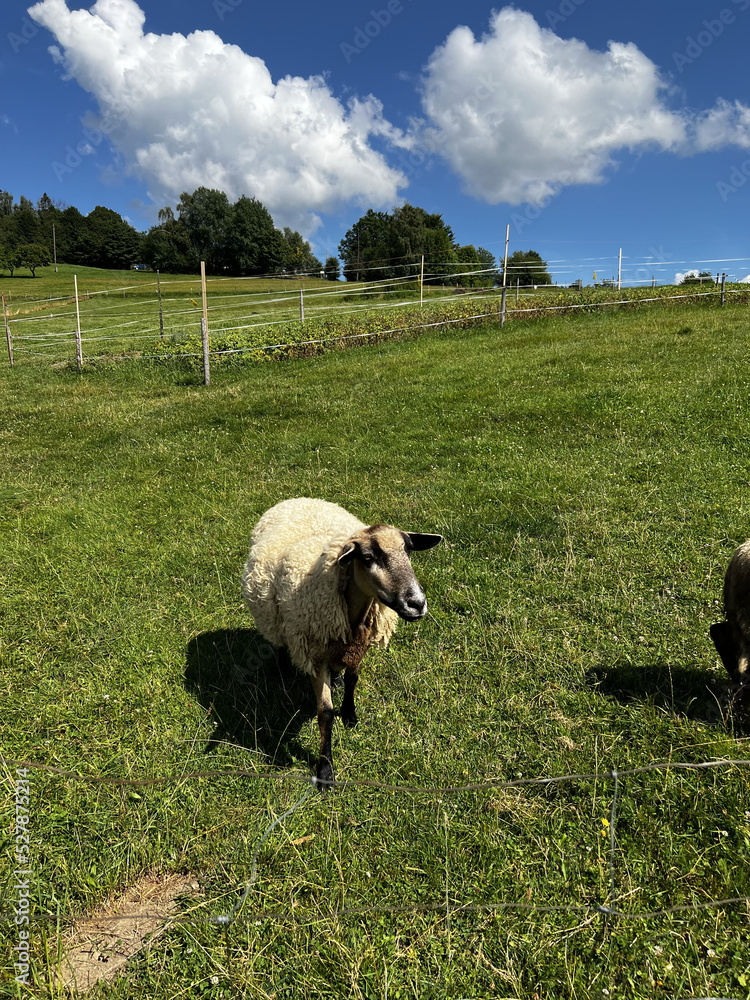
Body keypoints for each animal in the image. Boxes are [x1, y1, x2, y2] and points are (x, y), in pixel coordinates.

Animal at [241, 498, 442, 787]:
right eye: (368, 558)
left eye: (408, 551)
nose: (416, 603)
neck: (352, 614)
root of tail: (299, 498)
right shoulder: (315, 658)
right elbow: (325, 714)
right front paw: (325, 770)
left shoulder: (358, 647)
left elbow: (352, 680)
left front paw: (349, 714)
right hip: (274, 614)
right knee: (279, 638)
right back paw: (281, 666)